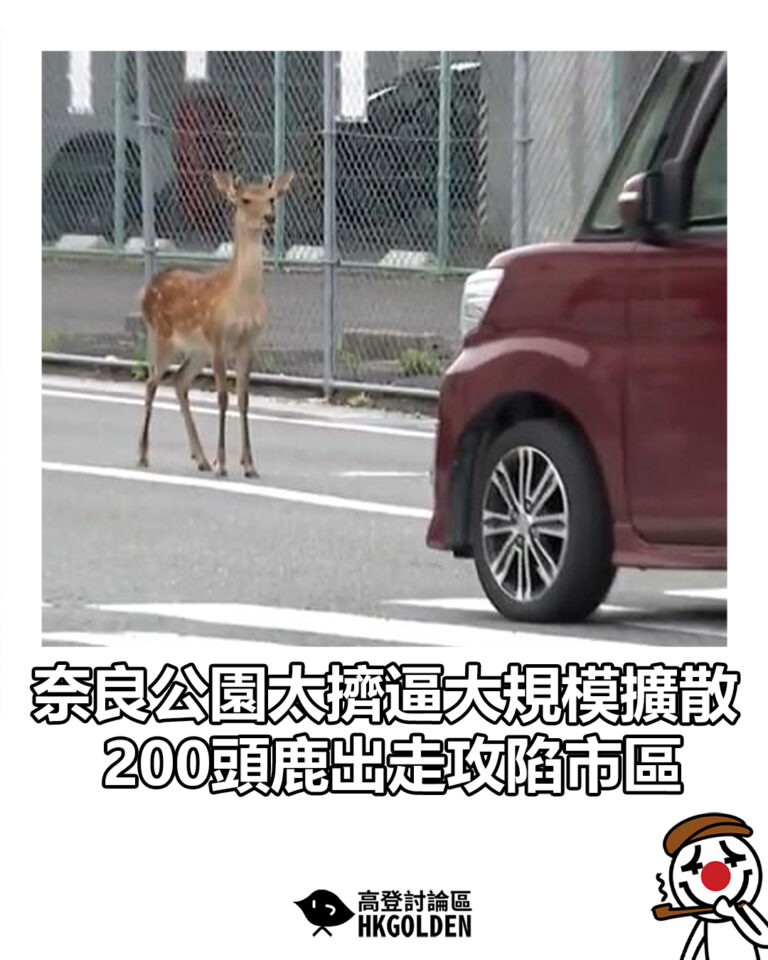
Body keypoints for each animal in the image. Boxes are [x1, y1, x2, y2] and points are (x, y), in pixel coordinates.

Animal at [137, 169, 294, 478]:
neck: (241, 299)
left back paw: (201, 459)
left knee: (179, 381)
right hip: (162, 335)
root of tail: (146, 291)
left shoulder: (248, 343)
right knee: (151, 383)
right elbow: (222, 397)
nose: (269, 216)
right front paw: (223, 463)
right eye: (245, 199)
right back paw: (144, 455)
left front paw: (249, 465)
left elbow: (243, 398)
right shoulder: (219, 339)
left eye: (271, 197)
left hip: (198, 350)